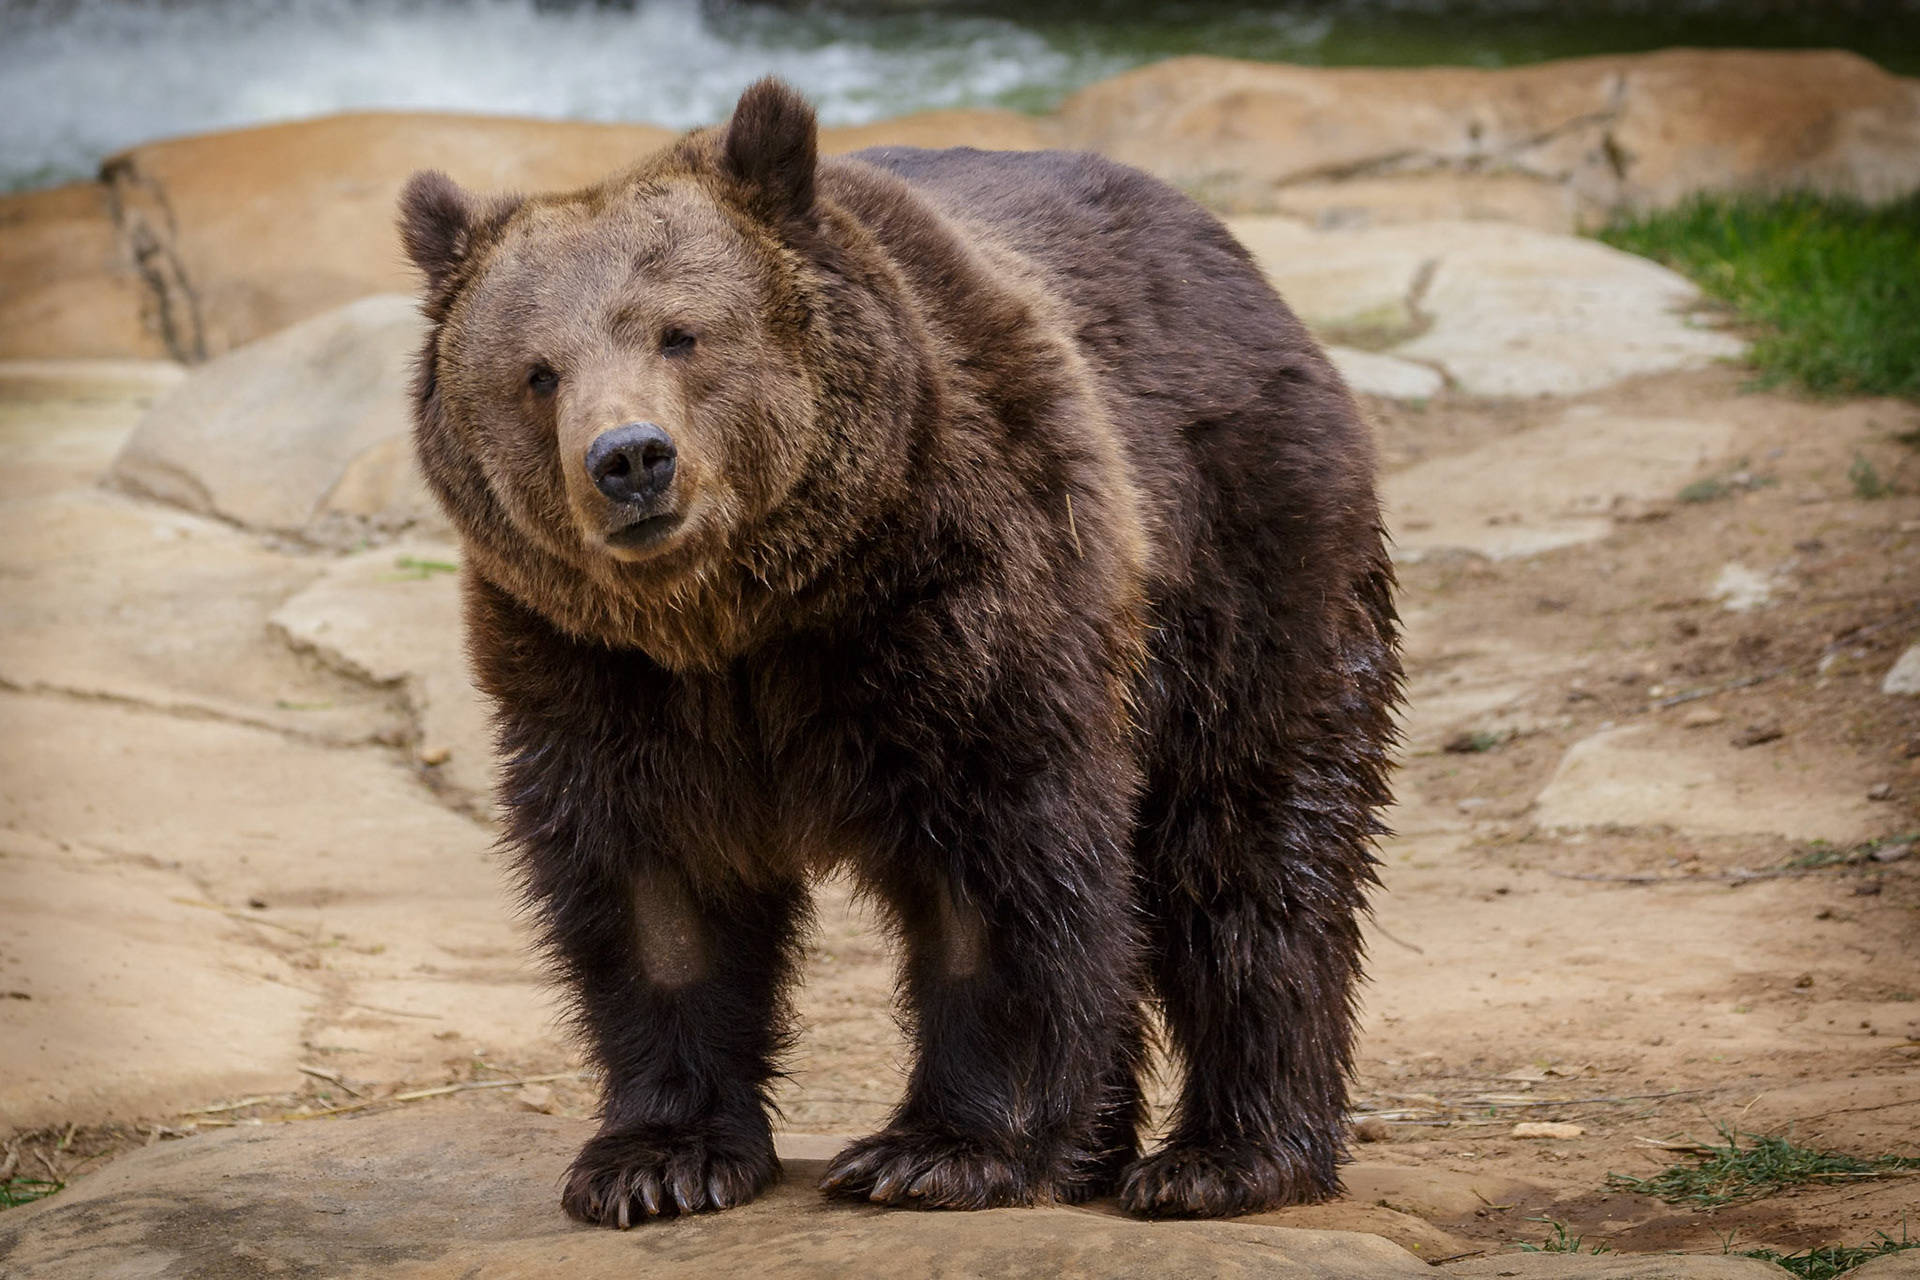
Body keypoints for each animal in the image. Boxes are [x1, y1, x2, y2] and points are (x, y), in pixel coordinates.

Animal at [398, 76, 1400, 1227]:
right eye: (538, 373)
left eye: (680, 333)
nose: (632, 460)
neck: (745, 613)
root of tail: (1243, 268)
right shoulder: (593, 666)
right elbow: (654, 887)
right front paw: (656, 1157)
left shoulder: (963, 596)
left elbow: (997, 869)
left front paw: (937, 1149)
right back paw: (1103, 1149)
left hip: (1239, 554)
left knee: (1251, 844)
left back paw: (1225, 1157)